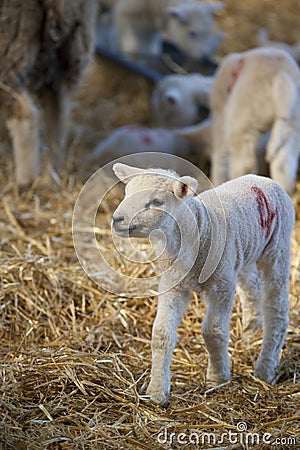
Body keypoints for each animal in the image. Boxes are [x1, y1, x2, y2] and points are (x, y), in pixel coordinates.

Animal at [0, 0, 96, 186]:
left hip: (9, 47)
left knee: (27, 114)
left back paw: (27, 181)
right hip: (71, 51)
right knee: (59, 114)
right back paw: (51, 179)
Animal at [112, 163, 296, 406]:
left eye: (157, 201)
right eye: (126, 193)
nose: (116, 219)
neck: (199, 228)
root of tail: (264, 179)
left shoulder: (222, 285)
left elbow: (213, 331)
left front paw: (217, 378)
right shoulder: (173, 284)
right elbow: (161, 334)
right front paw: (156, 392)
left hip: (277, 249)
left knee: (276, 309)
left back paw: (265, 369)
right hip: (242, 257)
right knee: (251, 290)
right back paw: (249, 331)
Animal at [210, 48, 300, 195]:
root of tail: (281, 76)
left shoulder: (221, 118)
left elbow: (220, 157)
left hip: (243, 123)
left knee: (245, 164)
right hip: (294, 127)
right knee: (283, 167)